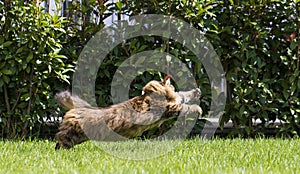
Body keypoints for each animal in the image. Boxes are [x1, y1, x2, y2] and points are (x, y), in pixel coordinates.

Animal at [55, 78, 203, 150]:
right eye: (171, 85)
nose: (172, 86)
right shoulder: (170, 108)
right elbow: (186, 105)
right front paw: (198, 108)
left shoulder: (174, 102)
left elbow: (183, 95)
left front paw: (196, 92)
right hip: (70, 136)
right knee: (60, 143)